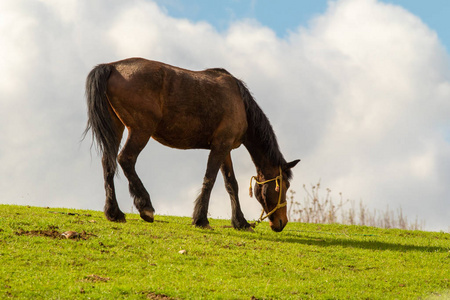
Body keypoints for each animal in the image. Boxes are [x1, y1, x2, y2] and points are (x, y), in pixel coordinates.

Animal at [84, 58, 298, 232]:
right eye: (283, 186)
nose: (281, 223)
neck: (239, 102)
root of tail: (112, 67)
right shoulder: (220, 146)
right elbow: (210, 180)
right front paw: (201, 219)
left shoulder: (225, 149)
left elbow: (231, 184)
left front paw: (241, 222)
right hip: (140, 131)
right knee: (125, 159)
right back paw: (145, 206)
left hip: (116, 128)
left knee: (108, 163)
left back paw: (114, 213)